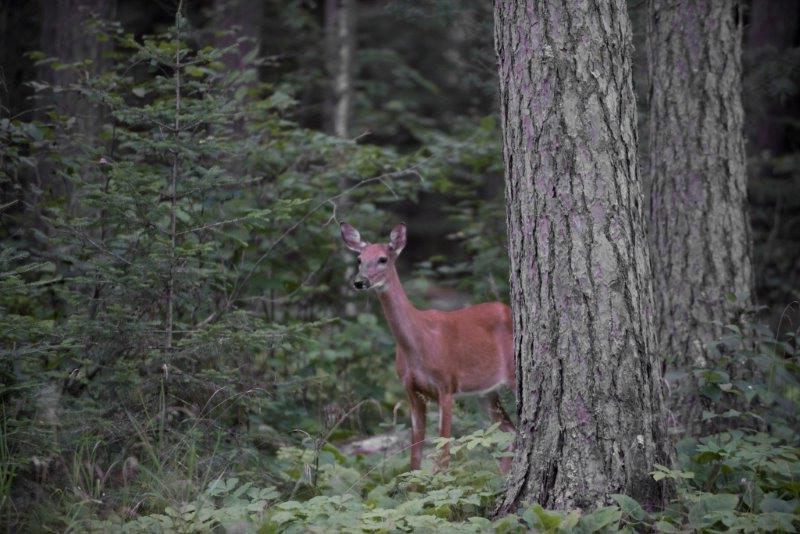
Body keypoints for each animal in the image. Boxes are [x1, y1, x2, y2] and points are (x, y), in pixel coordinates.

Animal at [340, 222, 516, 472]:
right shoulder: (411, 391)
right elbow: (414, 460)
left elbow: (444, 456)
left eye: (383, 259)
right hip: (484, 392)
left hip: (511, 374)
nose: (359, 281)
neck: (417, 344)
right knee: (509, 429)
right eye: (359, 259)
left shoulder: (446, 385)